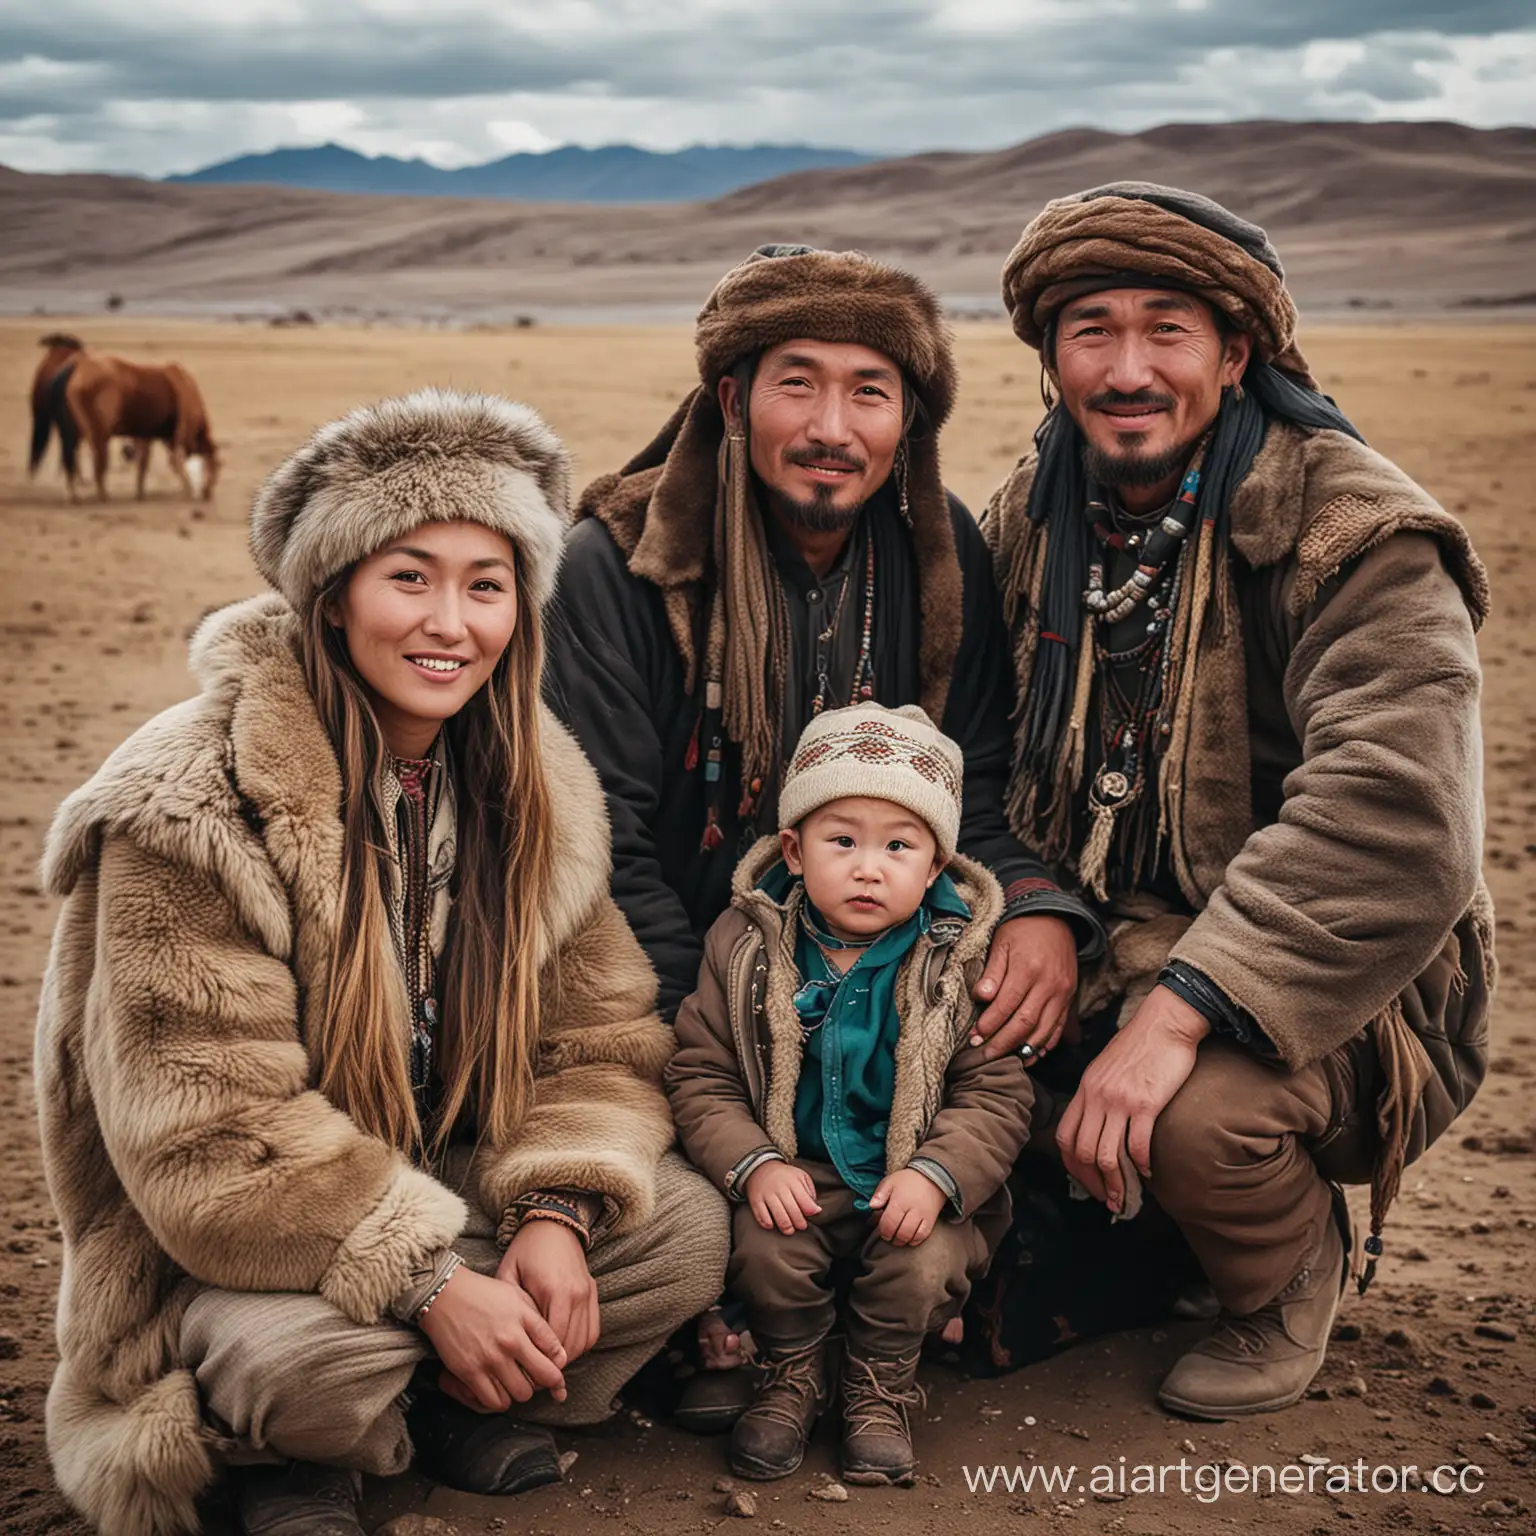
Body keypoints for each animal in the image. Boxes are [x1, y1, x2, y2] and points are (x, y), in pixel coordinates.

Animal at [38, 345, 219, 500]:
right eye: (216, 466)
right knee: (97, 459)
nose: (208, 493)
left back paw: (74, 494)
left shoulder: (145, 435)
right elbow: (175, 462)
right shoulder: (176, 435)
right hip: (98, 433)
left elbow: (143, 463)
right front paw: (188, 490)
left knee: (71, 456)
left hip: (75, 432)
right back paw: (101, 495)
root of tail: (78, 367)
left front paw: (140, 493)